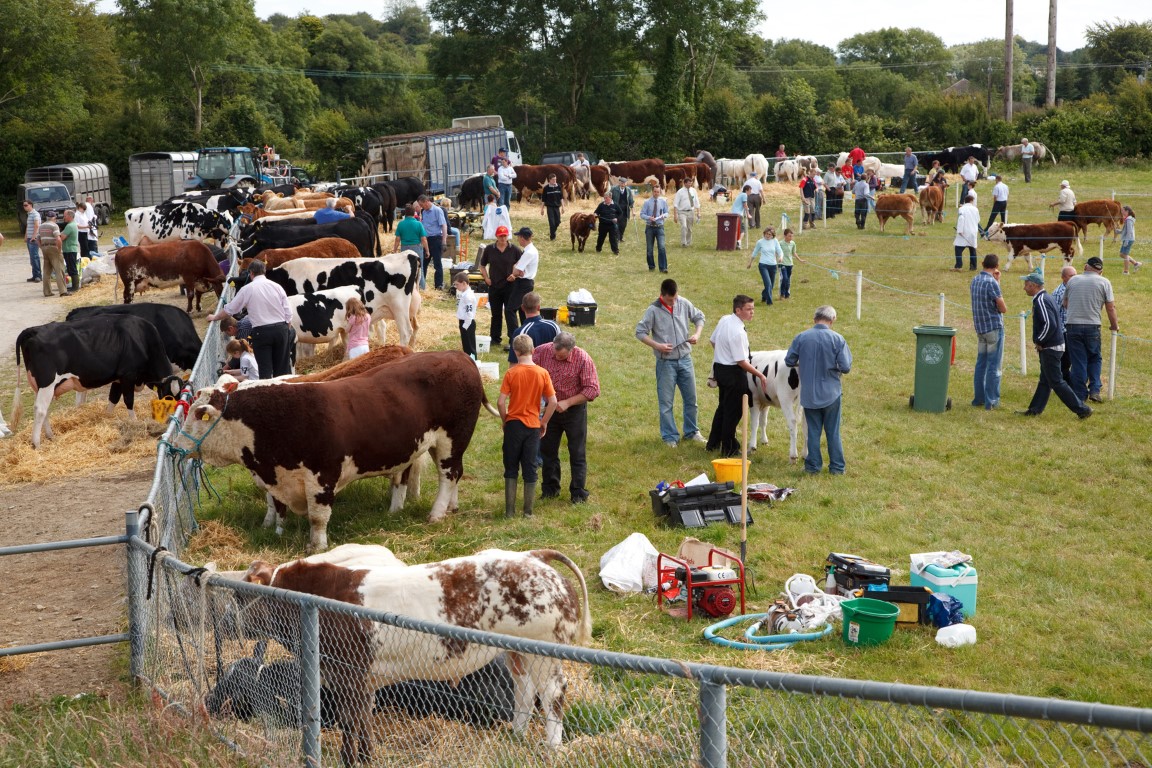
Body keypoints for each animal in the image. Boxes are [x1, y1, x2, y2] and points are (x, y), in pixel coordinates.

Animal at [13, 315, 175, 448]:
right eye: (169, 397)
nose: (172, 419)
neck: (141, 337)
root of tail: (34, 330)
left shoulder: (118, 378)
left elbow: (113, 398)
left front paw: (107, 418)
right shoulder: (128, 375)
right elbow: (129, 400)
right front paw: (135, 423)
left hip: (40, 386)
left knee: (43, 409)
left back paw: (50, 435)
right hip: (48, 382)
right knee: (40, 409)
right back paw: (36, 443)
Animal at [175, 350, 500, 551]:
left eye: (199, 414)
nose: (176, 445)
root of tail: (458, 355)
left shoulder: (322, 476)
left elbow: (318, 517)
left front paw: (316, 545)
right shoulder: (276, 477)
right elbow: (278, 508)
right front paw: (277, 531)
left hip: (452, 438)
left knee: (449, 474)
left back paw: (436, 513)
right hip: (436, 444)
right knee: (453, 473)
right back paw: (448, 507)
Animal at [223, 547, 591, 765]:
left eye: (240, 595)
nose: (224, 623)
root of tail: (534, 556)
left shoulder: (348, 674)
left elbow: (349, 721)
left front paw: (350, 759)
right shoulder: (362, 679)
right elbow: (363, 718)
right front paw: (367, 756)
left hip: (545, 648)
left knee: (553, 692)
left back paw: (553, 747)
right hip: (517, 650)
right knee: (525, 690)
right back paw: (515, 735)